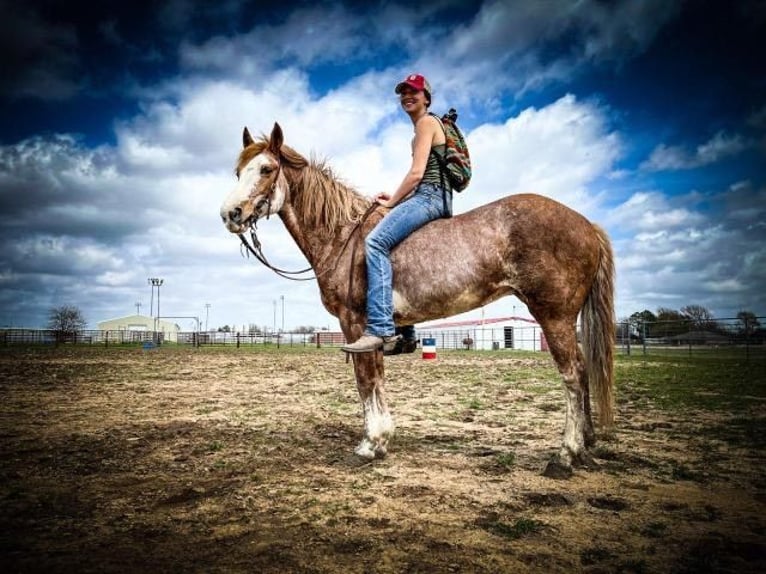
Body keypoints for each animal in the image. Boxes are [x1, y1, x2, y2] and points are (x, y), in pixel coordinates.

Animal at [219, 124, 616, 480]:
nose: (230, 214)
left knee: (573, 375)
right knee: (583, 371)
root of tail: (586, 224)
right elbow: (376, 379)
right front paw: (380, 440)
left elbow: (365, 380)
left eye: (266, 169)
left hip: (554, 315)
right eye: (239, 171)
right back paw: (585, 445)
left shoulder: (355, 324)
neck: (343, 237)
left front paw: (370, 445)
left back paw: (565, 455)